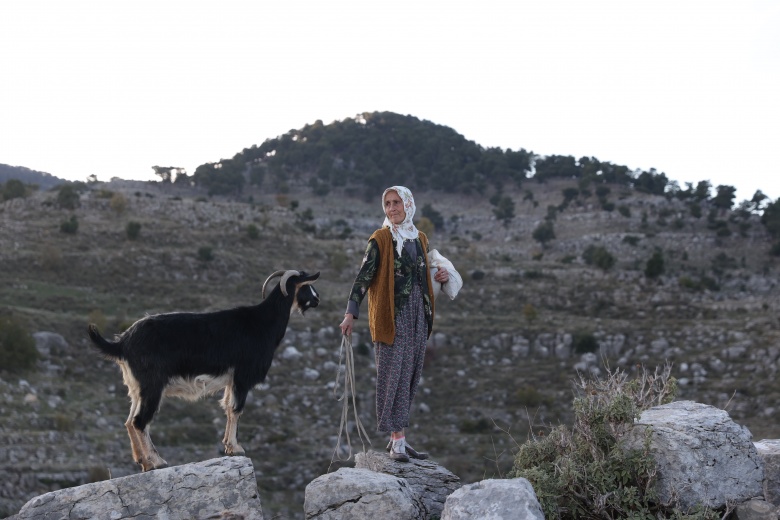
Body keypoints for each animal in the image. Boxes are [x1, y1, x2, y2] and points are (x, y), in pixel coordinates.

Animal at [85, 268, 316, 472]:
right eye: (306, 286)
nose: (318, 300)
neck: (263, 322)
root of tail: (123, 342)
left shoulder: (231, 380)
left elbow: (227, 407)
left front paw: (228, 446)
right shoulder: (242, 376)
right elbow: (236, 409)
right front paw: (236, 448)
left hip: (136, 388)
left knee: (129, 421)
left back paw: (145, 462)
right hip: (152, 386)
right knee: (140, 421)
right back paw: (157, 462)